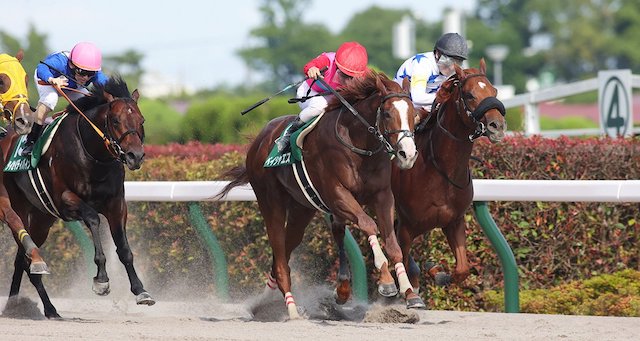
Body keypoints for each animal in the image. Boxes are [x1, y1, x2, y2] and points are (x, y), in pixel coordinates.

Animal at [0, 75, 154, 318]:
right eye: (116, 121)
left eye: (142, 120)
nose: (135, 156)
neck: (94, 157)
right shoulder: (66, 200)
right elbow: (93, 219)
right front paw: (101, 279)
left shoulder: (117, 204)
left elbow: (124, 249)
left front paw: (141, 291)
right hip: (17, 207)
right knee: (23, 249)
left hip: (42, 219)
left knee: (22, 260)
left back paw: (26, 306)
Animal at [220, 71, 424, 318]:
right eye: (386, 113)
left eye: (414, 115)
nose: (408, 155)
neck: (358, 145)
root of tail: (259, 140)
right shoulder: (337, 195)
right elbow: (368, 225)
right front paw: (386, 282)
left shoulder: (382, 195)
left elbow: (393, 245)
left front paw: (409, 293)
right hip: (270, 201)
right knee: (279, 253)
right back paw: (292, 310)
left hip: (301, 209)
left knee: (285, 250)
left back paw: (266, 300)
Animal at [392, 59, 508, 292]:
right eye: (470, 95)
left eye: (495, 91)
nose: (497, 126)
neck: (440, 170)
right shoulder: (406, 228)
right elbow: (404, 267)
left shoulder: (453, 221)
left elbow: (462, 270)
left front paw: (437, 273)